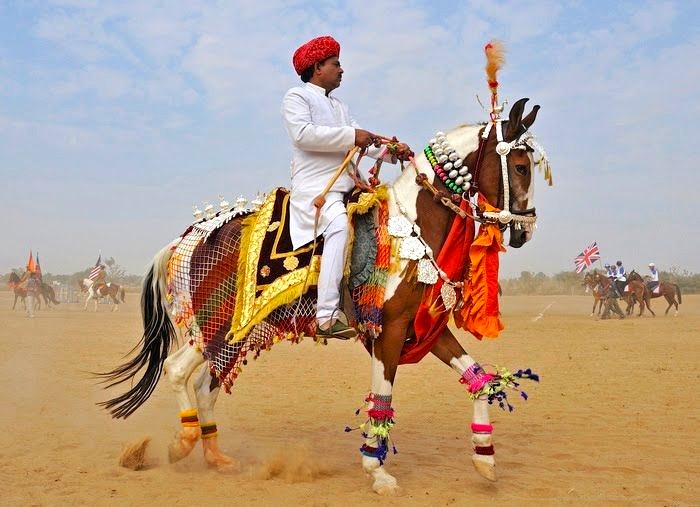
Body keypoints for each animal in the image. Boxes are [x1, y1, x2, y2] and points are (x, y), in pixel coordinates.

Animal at [95, 41, 548, 494]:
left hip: (232, 335)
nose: (524, 230)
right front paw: (377, 471)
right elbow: (382, 398)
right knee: (177, 371)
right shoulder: (388, 330)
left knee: (208, 386)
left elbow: (480, 380)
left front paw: (484, 458)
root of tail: (183, 240)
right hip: (212, 326)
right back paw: (183, 442)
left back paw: (216, 456)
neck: (410, 226)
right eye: (520, 167)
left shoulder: (423, 328)